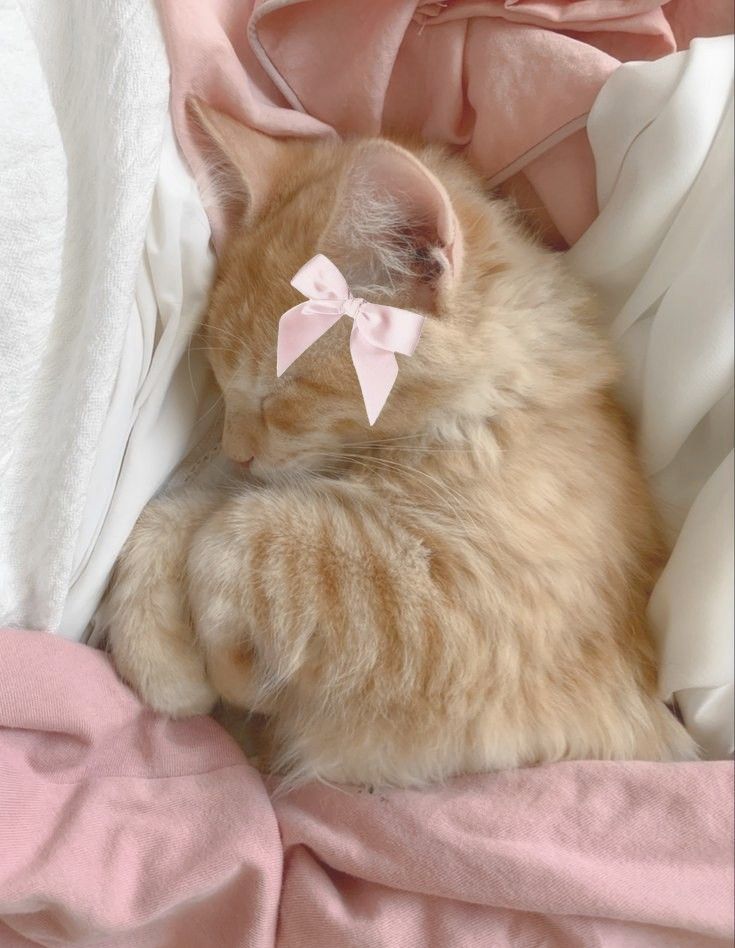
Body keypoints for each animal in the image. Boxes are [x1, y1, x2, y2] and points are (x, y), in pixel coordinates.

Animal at [100, 102, 700, 784]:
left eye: (282, 392)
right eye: (223, 383)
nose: (237, 451)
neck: (493, 409)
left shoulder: (463, 603)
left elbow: (237, 536)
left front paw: (236, 670)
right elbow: (175, 515)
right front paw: (165, 661)